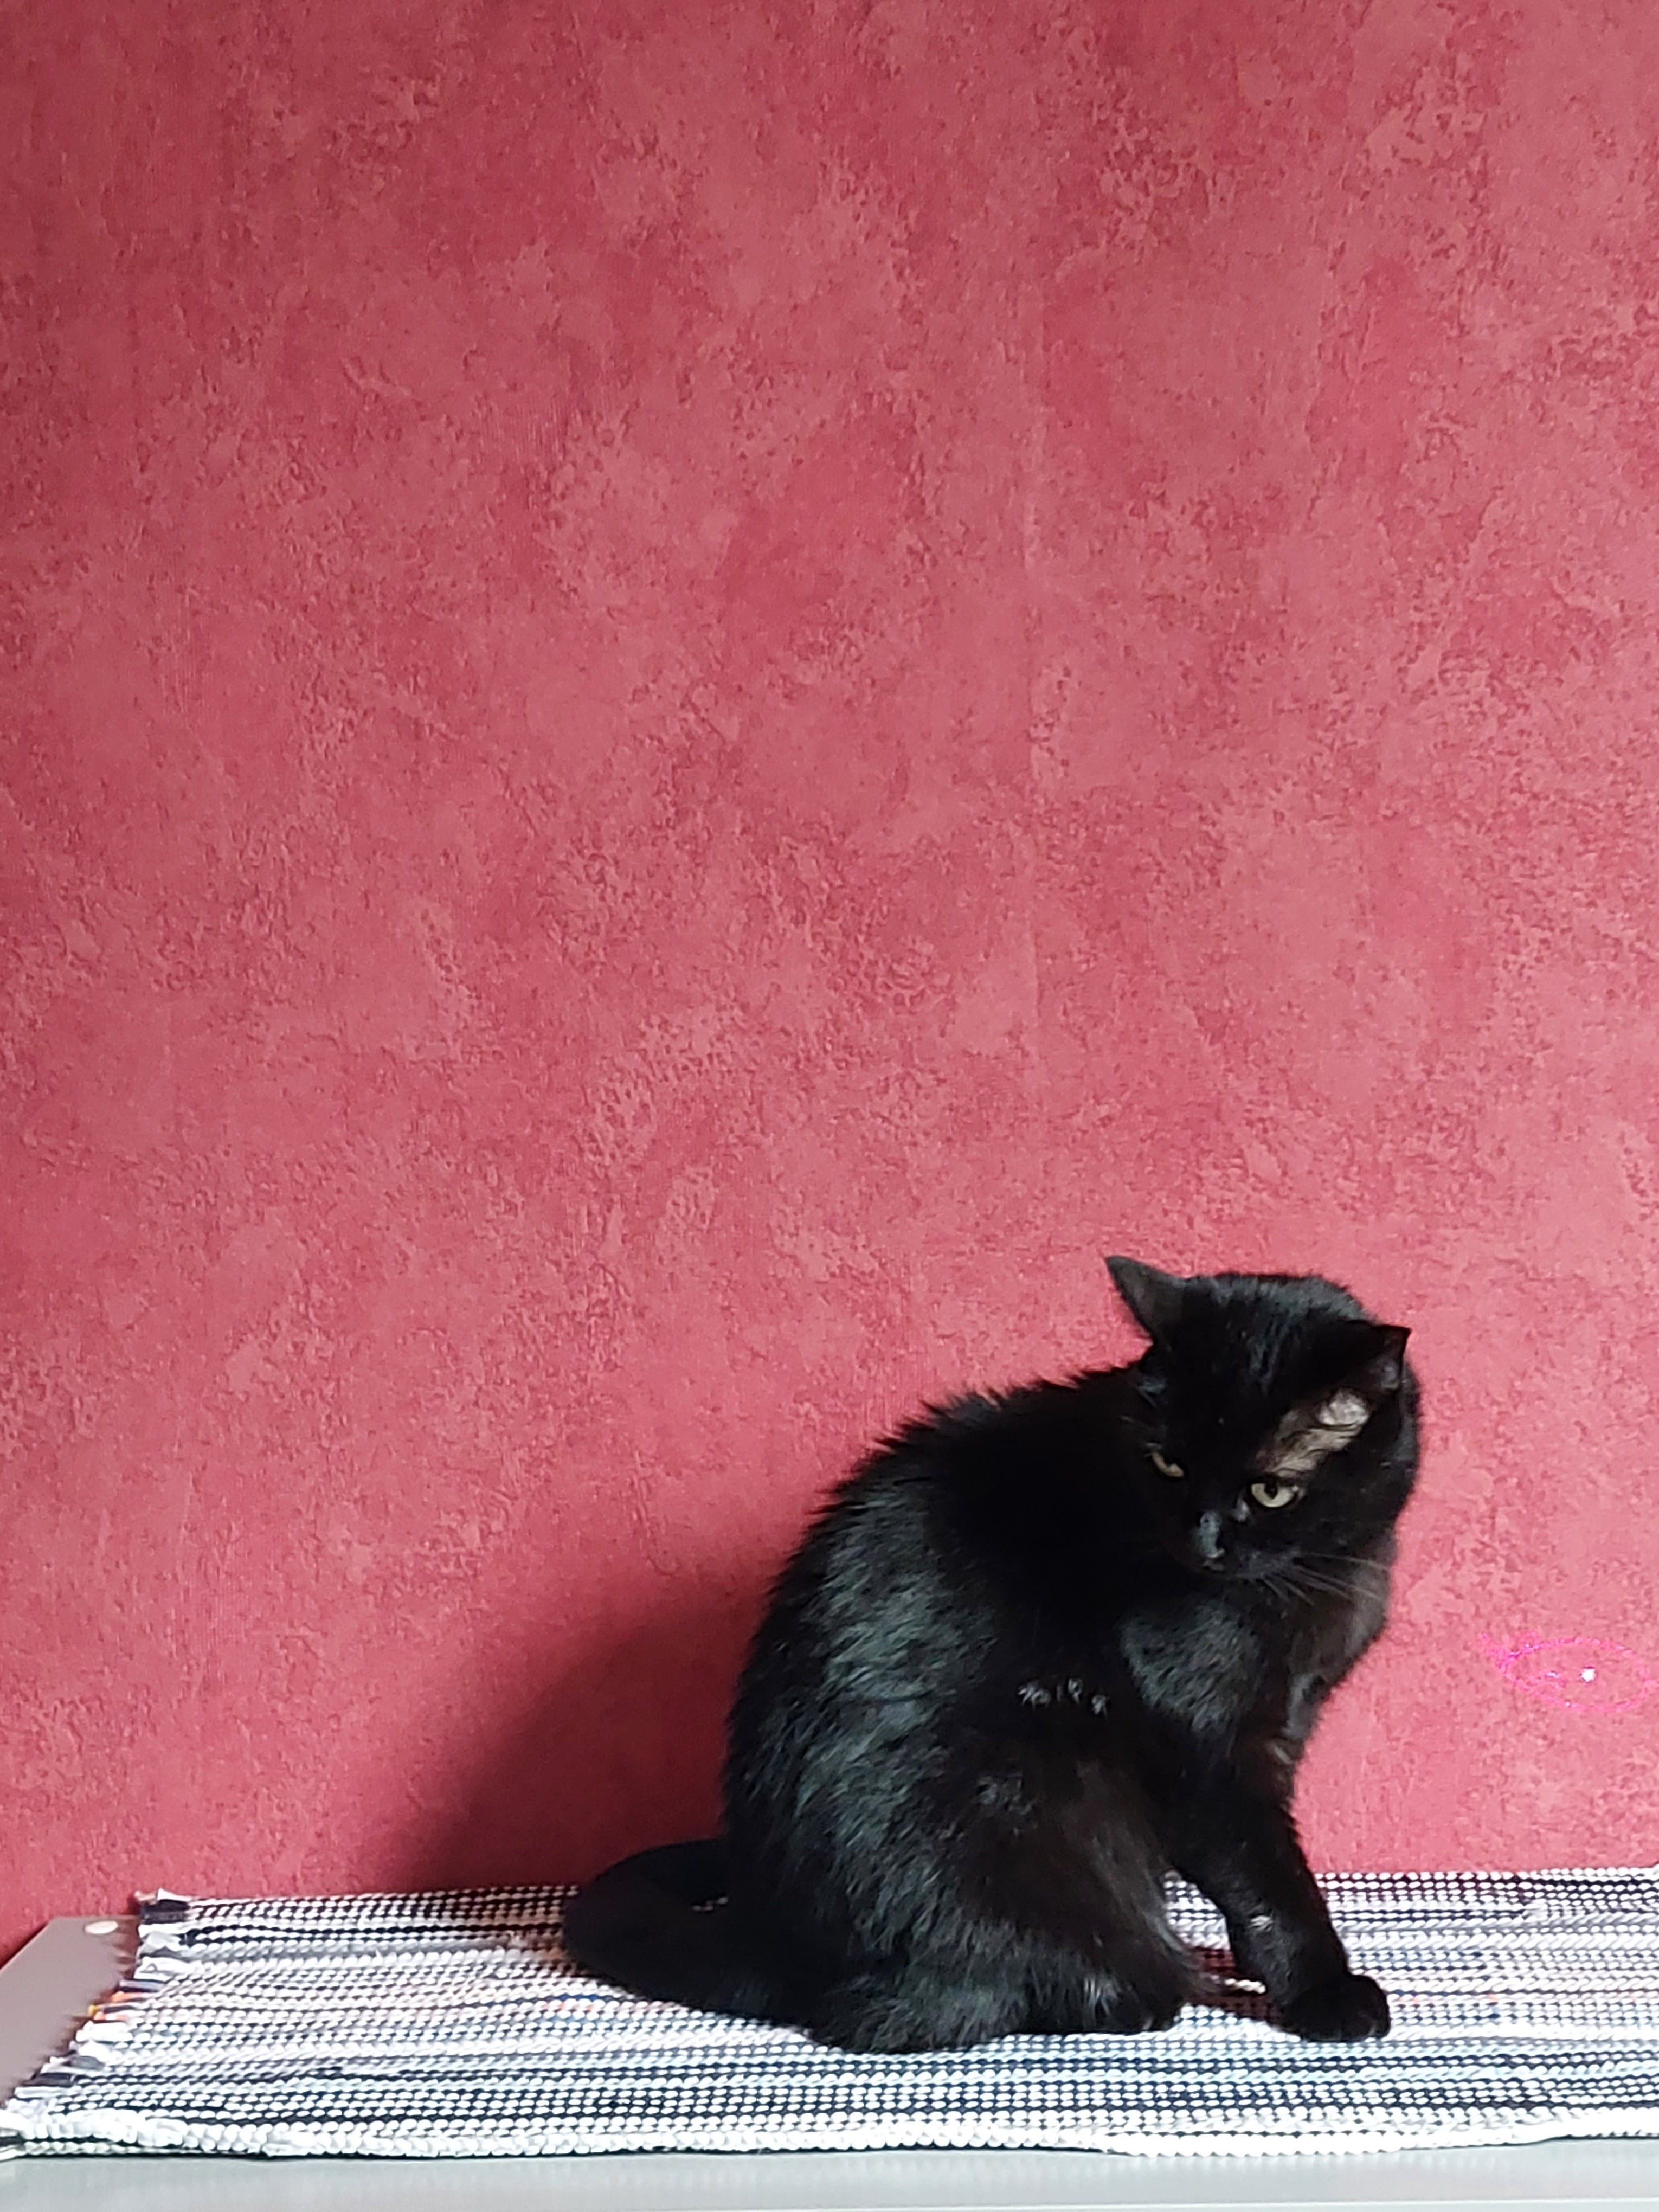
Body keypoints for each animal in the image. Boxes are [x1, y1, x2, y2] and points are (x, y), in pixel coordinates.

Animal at [563, 1257, 1419, 2052]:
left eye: (1270, 1490)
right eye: (1168, 1463)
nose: (1200, 1539)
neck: (1326, 1574)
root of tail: (771, 1933)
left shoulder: (1286, 1719)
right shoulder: (1208, 1740)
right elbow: (1268, 1884)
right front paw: (1324, 1992)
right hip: (1025, 1798)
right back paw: (1137, 1992)